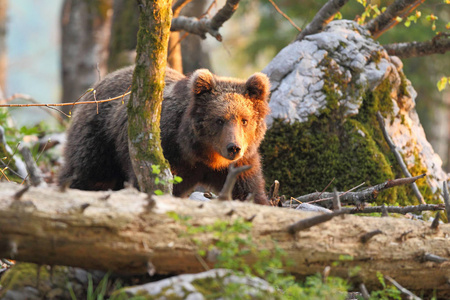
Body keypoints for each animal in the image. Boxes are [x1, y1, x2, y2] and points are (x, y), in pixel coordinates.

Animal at [59, 66, 270, 205]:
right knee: (86, 174)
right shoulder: (165, 152)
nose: (233, 148)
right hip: (100, 140)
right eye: (219, 119)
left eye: (244, 120)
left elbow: (249, 192)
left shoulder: (241, 164)